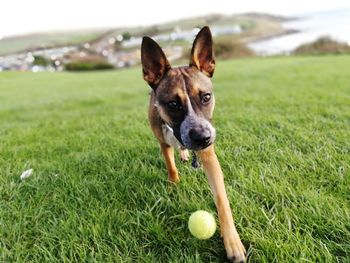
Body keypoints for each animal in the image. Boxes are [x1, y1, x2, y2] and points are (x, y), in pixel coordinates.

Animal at [140, 26, 246, 262]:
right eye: (173, 104)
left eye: (206, 97)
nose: (202, 137)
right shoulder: (162, 141)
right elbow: (170, 166)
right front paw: (174, 184)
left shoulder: (209, 154)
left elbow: (222, 201)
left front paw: (232, 242)